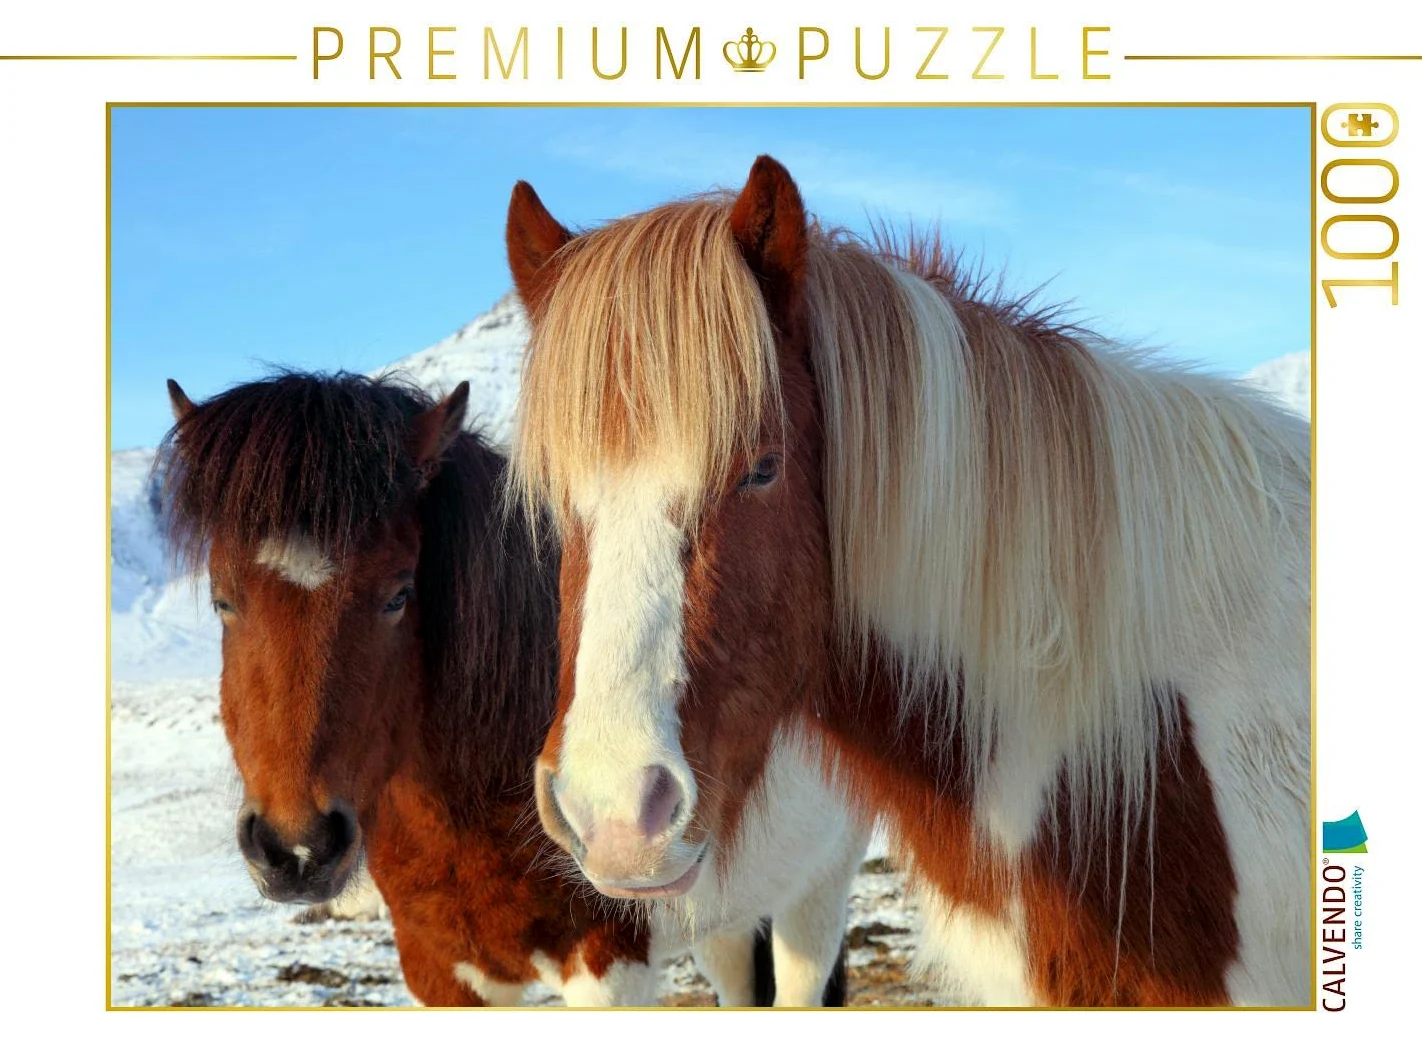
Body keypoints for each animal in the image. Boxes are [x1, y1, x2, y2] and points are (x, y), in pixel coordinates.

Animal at [156, 371, 863, 1006]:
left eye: (398, 595)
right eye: (223, 601)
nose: (298, 850)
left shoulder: (608, 969)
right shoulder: (441, 972)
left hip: (817, 891)